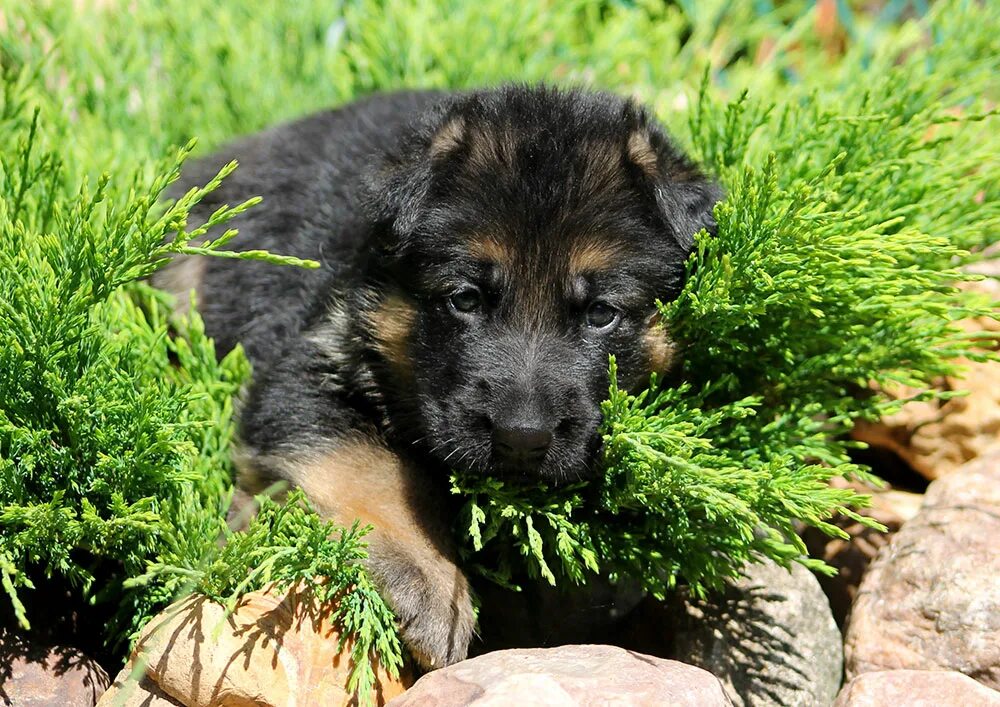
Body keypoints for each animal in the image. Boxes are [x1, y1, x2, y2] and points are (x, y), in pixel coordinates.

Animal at [156, 85, 720, 672]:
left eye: (602, 314)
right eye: (465, 299)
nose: (522, 439)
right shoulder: (307, 363)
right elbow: (370, 464)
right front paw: (430, 578)